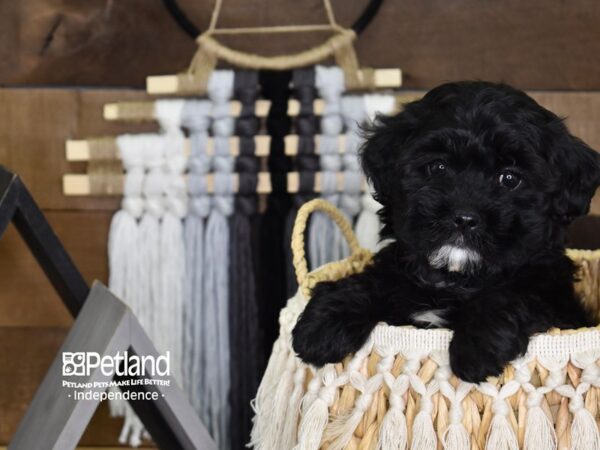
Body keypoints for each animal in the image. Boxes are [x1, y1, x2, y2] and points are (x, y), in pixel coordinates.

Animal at [292, 81, 600, 384]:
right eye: (438, 167)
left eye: (510, 179)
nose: (464, 218)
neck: (453, 280)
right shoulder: (398, 265)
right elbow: (371, 280)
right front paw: (322, 324)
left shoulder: (548, 294)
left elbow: (514, 295)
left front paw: (478, 346)